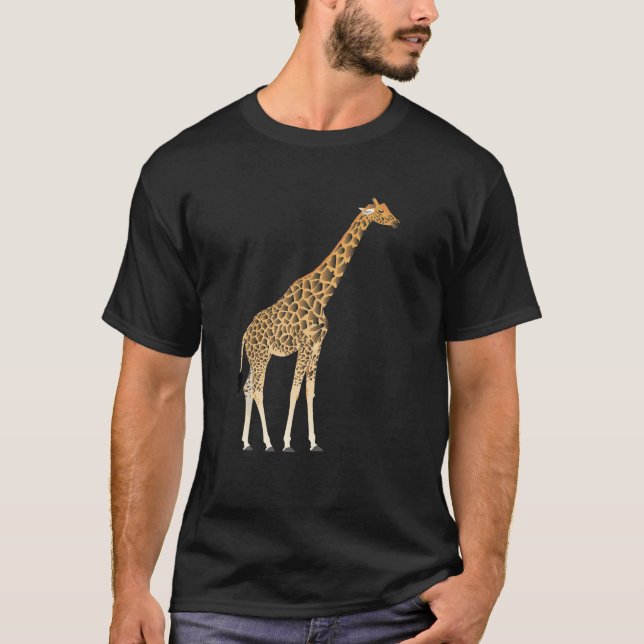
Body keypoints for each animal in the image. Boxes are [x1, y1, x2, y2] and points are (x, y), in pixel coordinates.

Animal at [238, 197, 400, 452]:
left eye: (388, 209)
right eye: (382, 211)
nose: (396, 222)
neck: (322, 297)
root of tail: (245, 333)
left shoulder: (316, 346)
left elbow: (309, 392)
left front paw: (313, 442)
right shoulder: (305, 345)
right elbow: (294, 392)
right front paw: (287, 443)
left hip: (258, 356)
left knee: (247, 387)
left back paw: (246, 442)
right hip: (261, 356)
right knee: (257, 390)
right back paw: (268, 443)